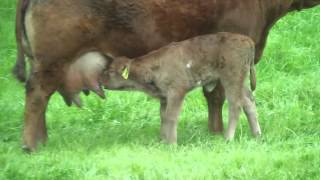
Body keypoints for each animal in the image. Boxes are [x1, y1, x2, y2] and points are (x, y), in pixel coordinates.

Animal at [102, 32, 260, 142]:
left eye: (111, 71)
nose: (102, 81)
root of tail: (247, 40)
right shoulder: (164, 97)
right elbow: (163, 116)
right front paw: (162, 140)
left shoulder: (177, 92)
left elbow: (171, 116)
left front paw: (171, 143)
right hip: (241, 82)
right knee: (249, 102)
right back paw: (257, 135)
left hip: (231, 79)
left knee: (235, 106)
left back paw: (228, 138)